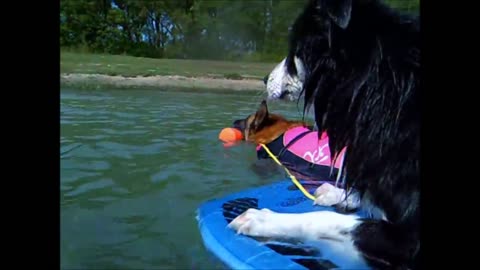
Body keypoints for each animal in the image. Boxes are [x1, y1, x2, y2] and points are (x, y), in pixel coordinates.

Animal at [229, 1, 420, 268]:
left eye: (295, 50)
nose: (264, 79)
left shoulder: (410, 239)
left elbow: (325, 219)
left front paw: (264, 219)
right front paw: (339, 194)